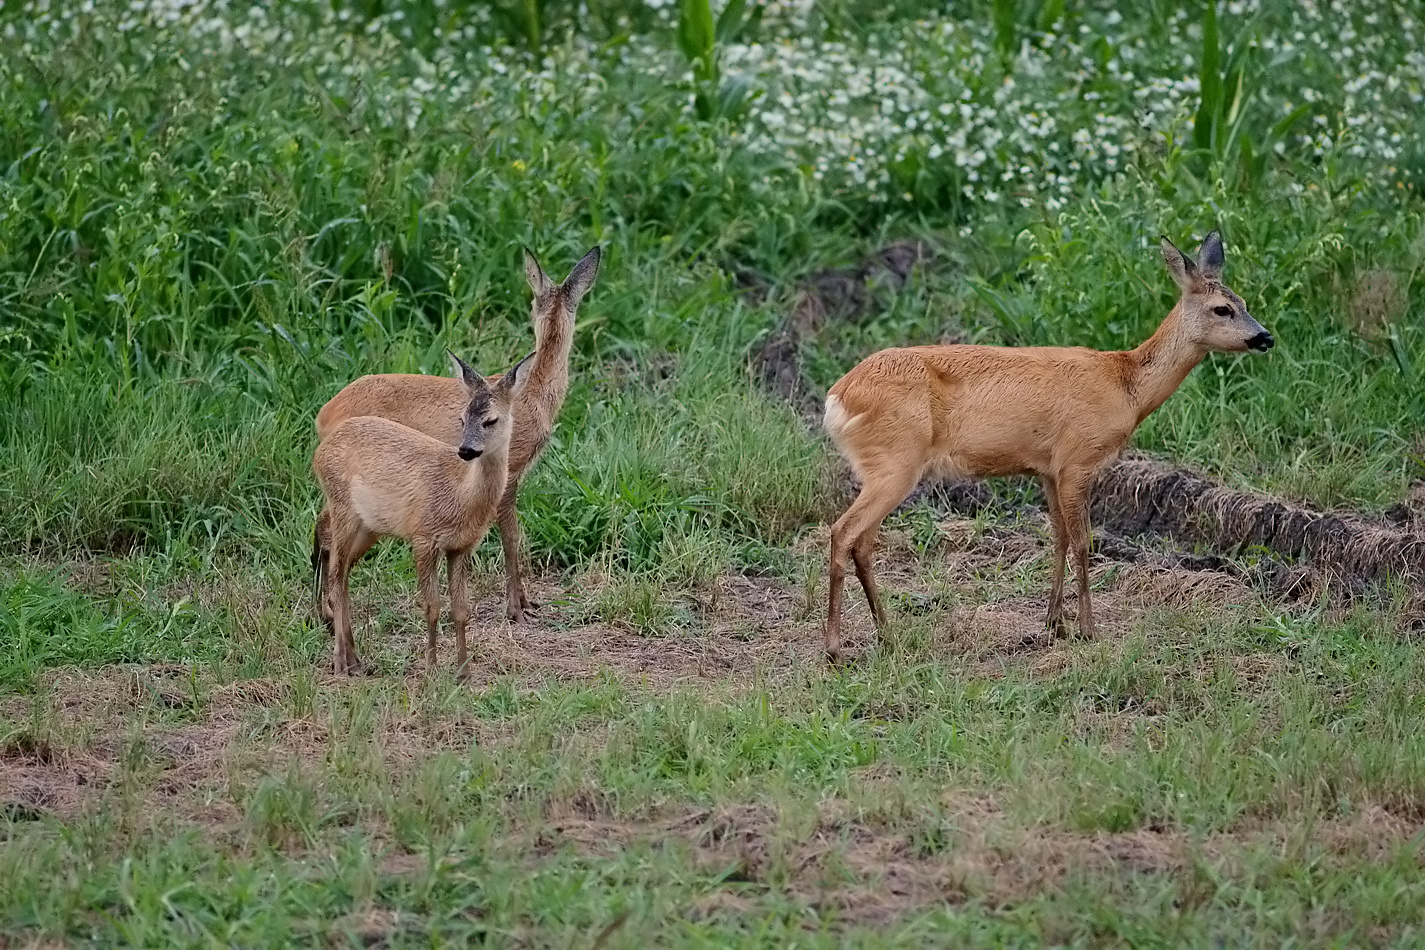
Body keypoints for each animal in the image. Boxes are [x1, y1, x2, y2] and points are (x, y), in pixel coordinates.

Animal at [313, 354, 535, 675]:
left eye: (490, 419)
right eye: (461, 418)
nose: (466, 450)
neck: (460, 495)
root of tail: (320, 449)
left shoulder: (462, 546)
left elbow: (461, 609)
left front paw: (463, 672)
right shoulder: (423, 537)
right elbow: (431, 606)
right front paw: (431, 669)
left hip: (368, 527)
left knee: (342, 577)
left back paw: (355, 659)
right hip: (342, 507)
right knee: (335, 577)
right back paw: (342, 662)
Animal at [314, 247, 598, 623]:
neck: (533, 393)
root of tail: (324, 413)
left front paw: (524, 602)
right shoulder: (510, 468)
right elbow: (511, 535)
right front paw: (517, 607)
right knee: (325, 531)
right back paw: (327, 613)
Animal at [820, 230, 1276, 660]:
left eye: (1245, 301)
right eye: (1222, 309)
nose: (1265, 337)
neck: (1126, 387)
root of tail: (837, 397)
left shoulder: (1048, 469)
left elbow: (1058, 537)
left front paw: (1054, 623)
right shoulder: (1079, 459)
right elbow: (1083, 542)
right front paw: (1088, 629)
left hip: (885, 467)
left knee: (862, 542)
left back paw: (887, 635)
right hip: (896, 461)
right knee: (843, 532)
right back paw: (835, 648)